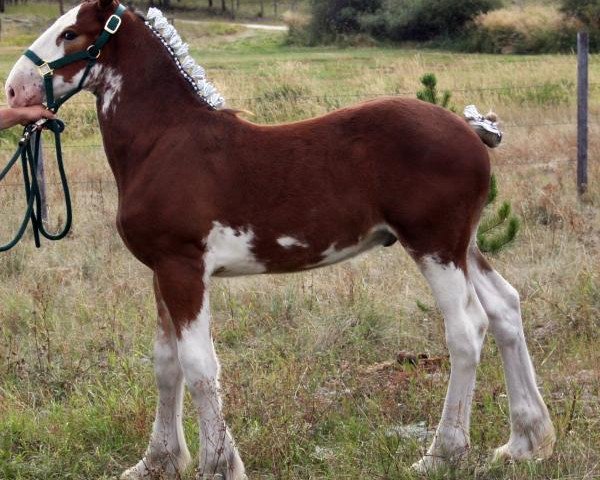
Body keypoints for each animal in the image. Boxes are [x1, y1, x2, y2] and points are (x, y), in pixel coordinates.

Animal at [7, 1, 556, 478]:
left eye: (70, 34)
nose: (14, 92)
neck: (164, 142)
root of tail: (470, 128)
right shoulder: (161, 271)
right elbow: (166, 365)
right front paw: (157, 461)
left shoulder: (184, 268)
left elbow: (198, 365)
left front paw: (218, 464)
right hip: (463, 246)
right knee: (505, 309)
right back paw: (525, 441)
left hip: (434, 245)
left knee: (466, 328)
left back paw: (443, 453)